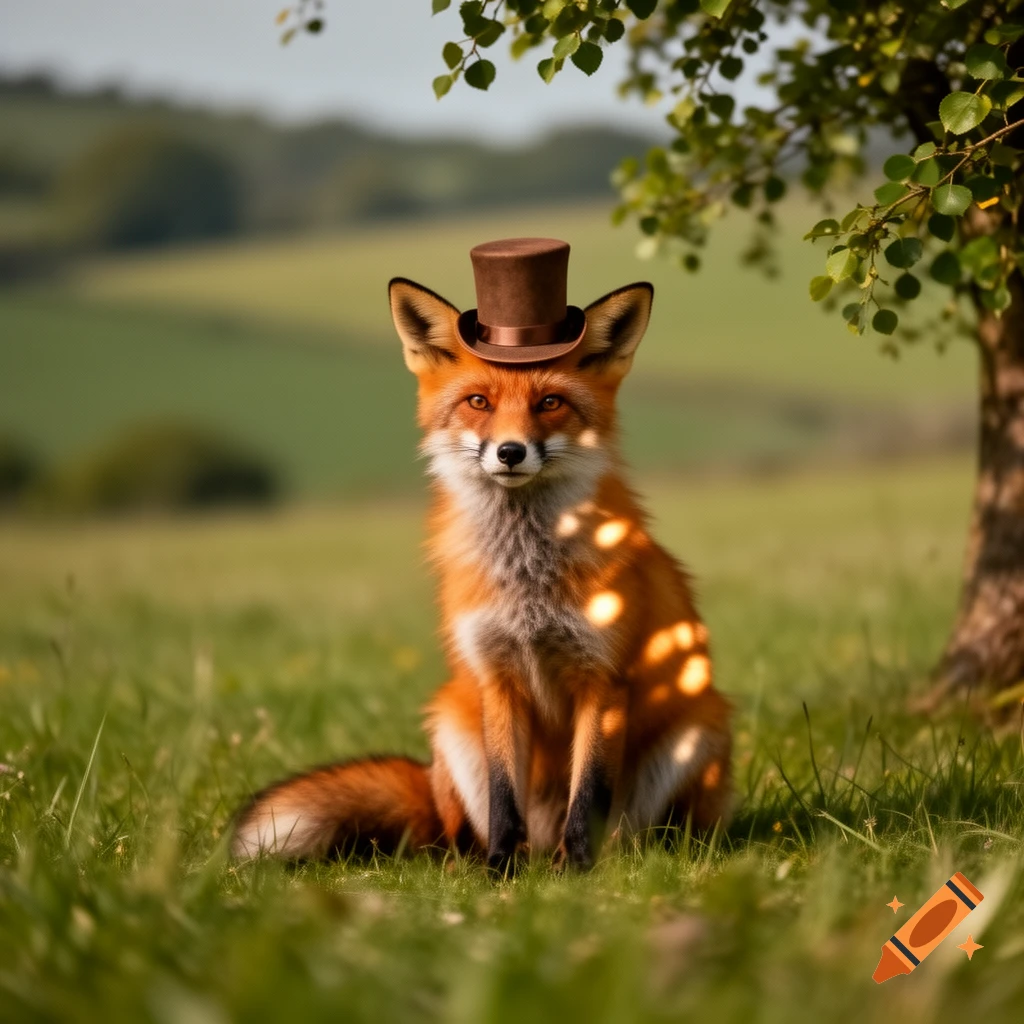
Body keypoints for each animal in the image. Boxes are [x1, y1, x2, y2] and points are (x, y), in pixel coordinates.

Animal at [231, 274, 732, 870]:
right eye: (478, 402)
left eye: (550, 402)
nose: (510, 451)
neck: (527, 581)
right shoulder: (498, 674)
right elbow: (502, 793)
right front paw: (500, 872)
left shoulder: (604, 678)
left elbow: (588, 792)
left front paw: (577, 871)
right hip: (451, 721)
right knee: (454, 836)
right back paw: (482, 862)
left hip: (697, 728)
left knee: (638, 833)